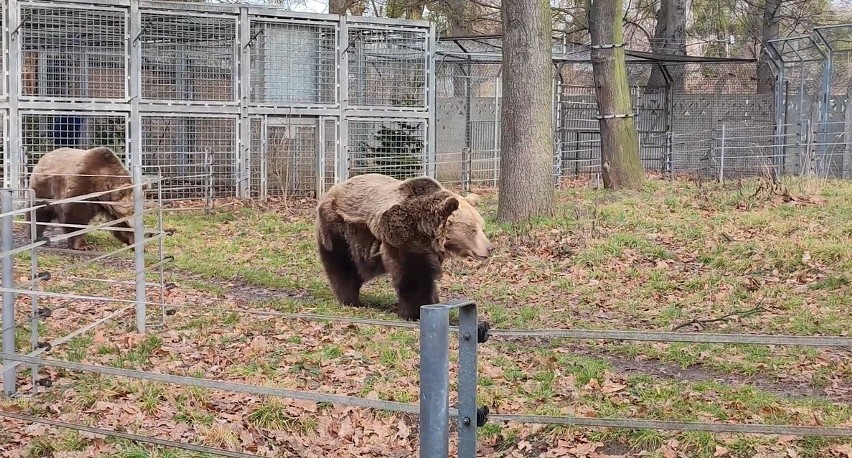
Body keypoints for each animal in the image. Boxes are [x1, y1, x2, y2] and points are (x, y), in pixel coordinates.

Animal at [316, 174, 496, 320]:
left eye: (482, 227)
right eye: (473, 230)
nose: (490, 248)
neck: (428, 231)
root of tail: (330, 191)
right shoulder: (404, 234)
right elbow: (414, 275)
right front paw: (415, 311)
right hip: (340, 228)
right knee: (343, 263)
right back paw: (350, 299)